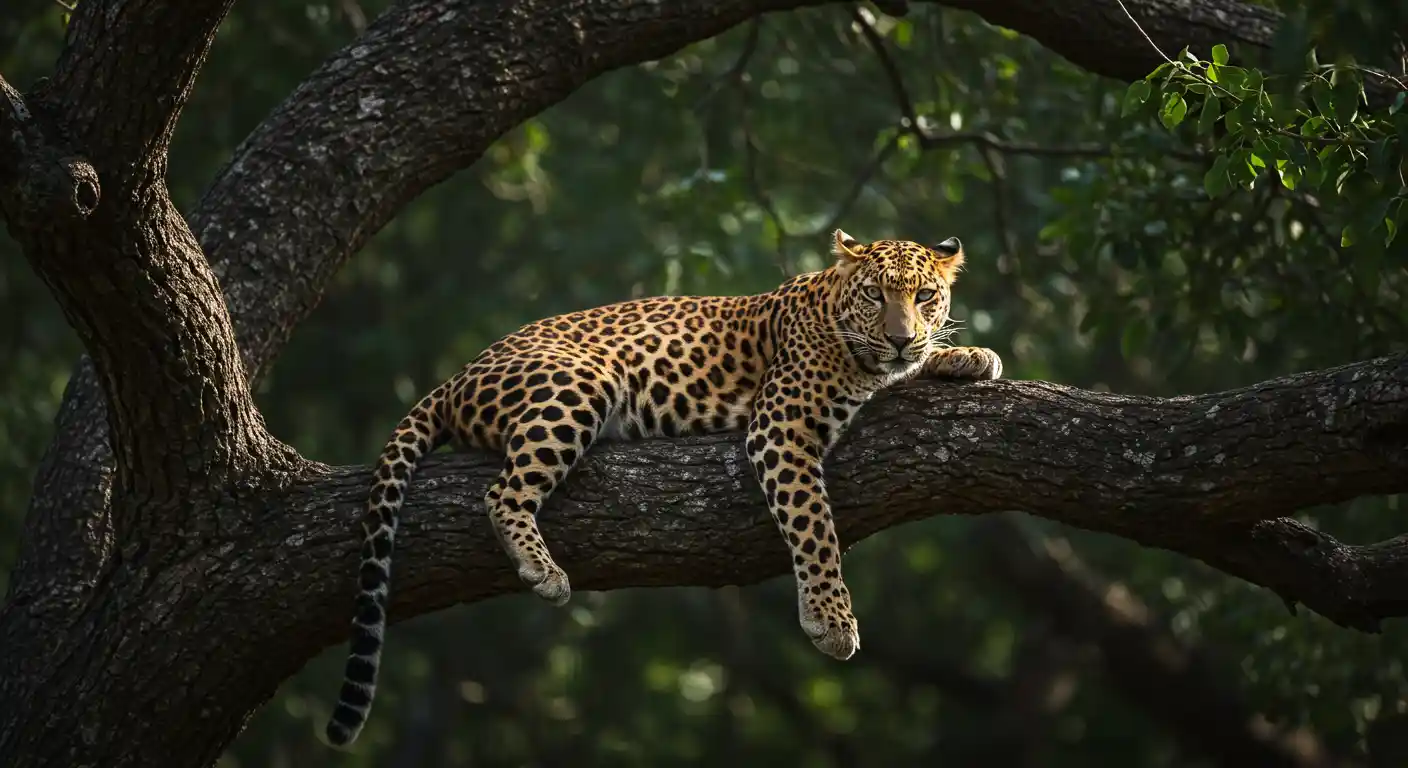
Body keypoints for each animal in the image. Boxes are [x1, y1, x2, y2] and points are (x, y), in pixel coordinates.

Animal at [324, 229, 1003, 747]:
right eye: (874, 295)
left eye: (925, 296)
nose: (900, 335)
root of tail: (459, 374)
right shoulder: (780, 428)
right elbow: (815, 527)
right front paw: (831, 619)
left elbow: (910, 370)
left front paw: (967, 354)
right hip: (579, 383)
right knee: (501, 493)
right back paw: (544, 570)